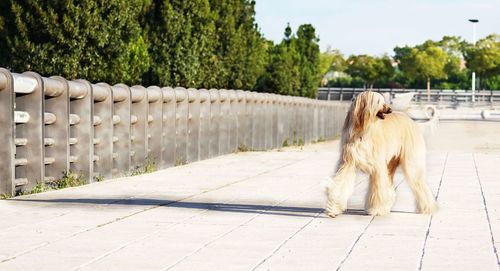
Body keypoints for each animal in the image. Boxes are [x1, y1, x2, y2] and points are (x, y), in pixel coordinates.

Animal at [326, 91, 436, 219]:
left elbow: (378, 188)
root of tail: (412, 122)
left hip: (411, 161)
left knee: (419, 182)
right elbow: (340, 183)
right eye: (378, 101)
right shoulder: (348, 163)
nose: (390, 110)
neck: (362, 130)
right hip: (391, 163)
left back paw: (429, 208)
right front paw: (333, 209)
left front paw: (377, 210)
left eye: (383, 100)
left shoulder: (377, 166)